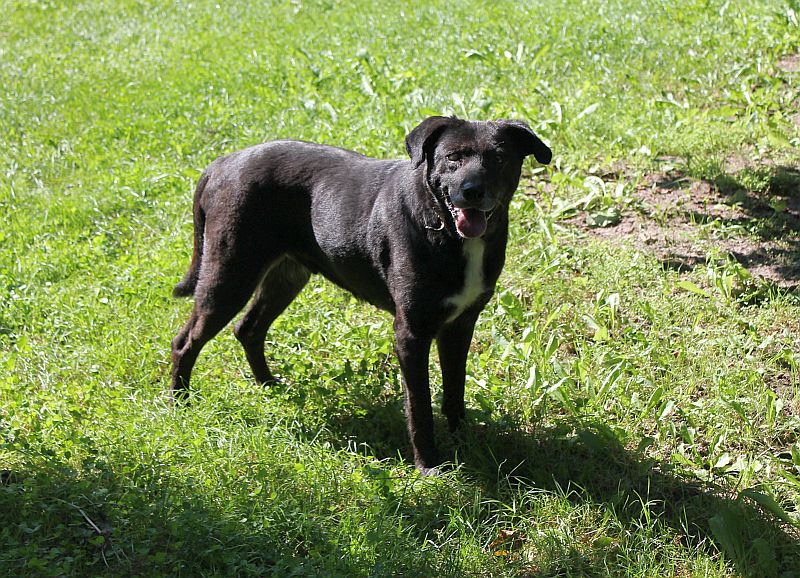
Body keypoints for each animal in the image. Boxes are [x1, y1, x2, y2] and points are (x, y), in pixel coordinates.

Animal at [170, 116, 551, 474]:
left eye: (499, 158)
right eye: (453, 158)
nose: (473, 191)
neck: (443, 227)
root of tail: (222, 163)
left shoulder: (460, 324)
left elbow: (454, 392)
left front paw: (464, 443)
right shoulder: (411, 332)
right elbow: (420, 405)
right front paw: (428, 465)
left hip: (286, 276)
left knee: (248, 328)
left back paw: (270, 386)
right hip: (229, 273)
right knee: (185, 340)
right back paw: (180, 403)